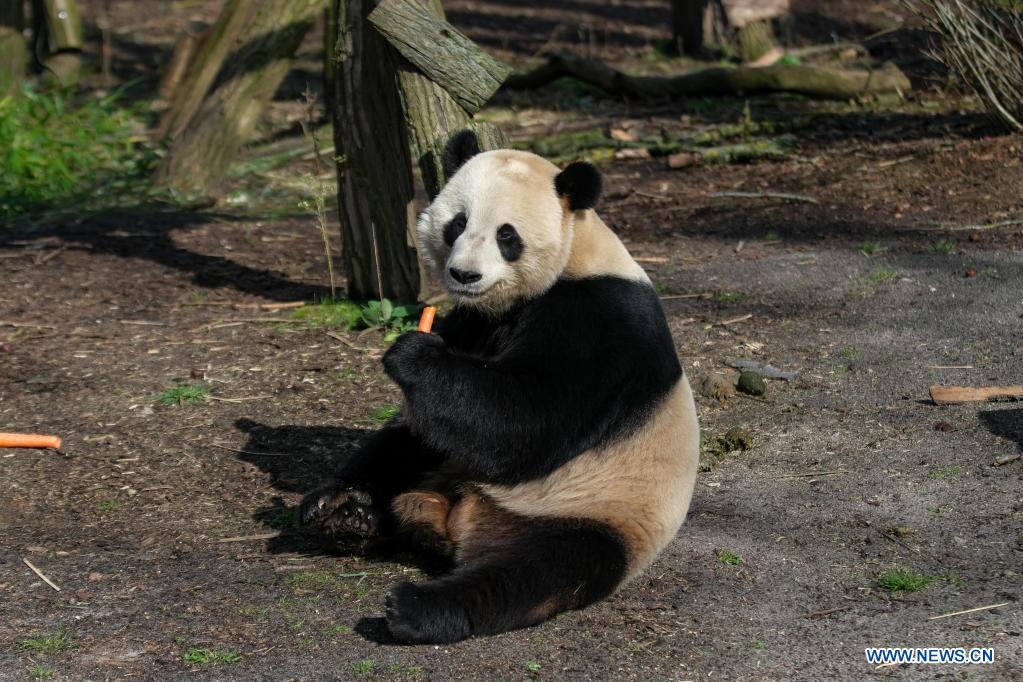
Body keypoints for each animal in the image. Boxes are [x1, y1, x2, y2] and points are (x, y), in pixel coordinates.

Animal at [298, 134, 699, 646]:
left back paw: (417, 608)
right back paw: (348, 516)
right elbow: (437, 420)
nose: (465, 276)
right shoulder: (475, 321)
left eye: (507, 236)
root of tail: (463, 518)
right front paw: (332, 499)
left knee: (536, 572)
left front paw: (414, 355)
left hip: (595, 511)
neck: (575, 256)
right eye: (458, 223)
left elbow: (527, 423)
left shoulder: (603, 322)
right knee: (407, 449)